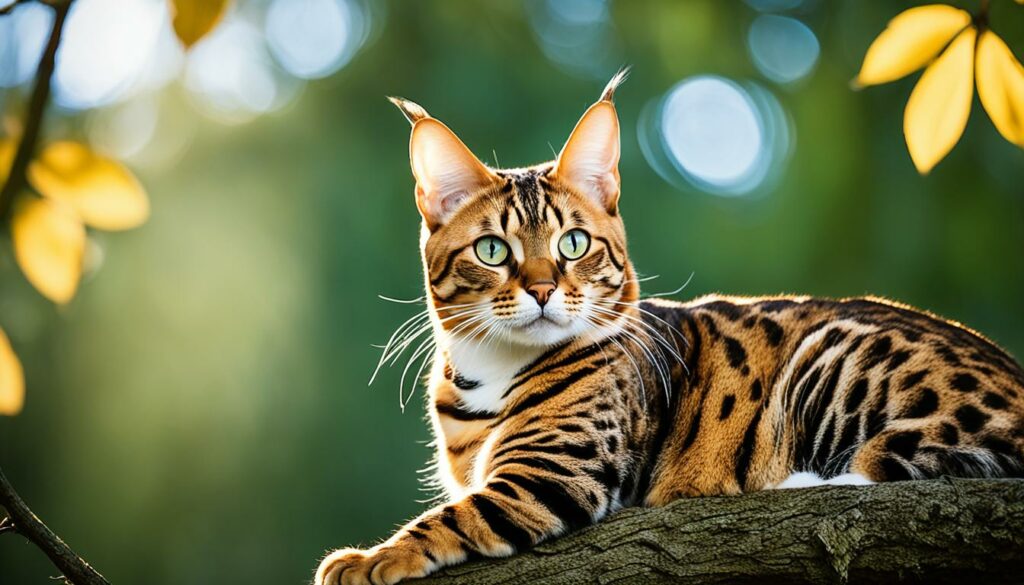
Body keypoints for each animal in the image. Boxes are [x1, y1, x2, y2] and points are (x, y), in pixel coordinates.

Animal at [311, 73, 1024, 585]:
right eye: (492, 251)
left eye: (573, 244)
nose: (542, 289)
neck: (490, 373)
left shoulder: (554, 471)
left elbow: (454, 515)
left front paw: (367, 558)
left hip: (835, 357)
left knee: (892, 469)